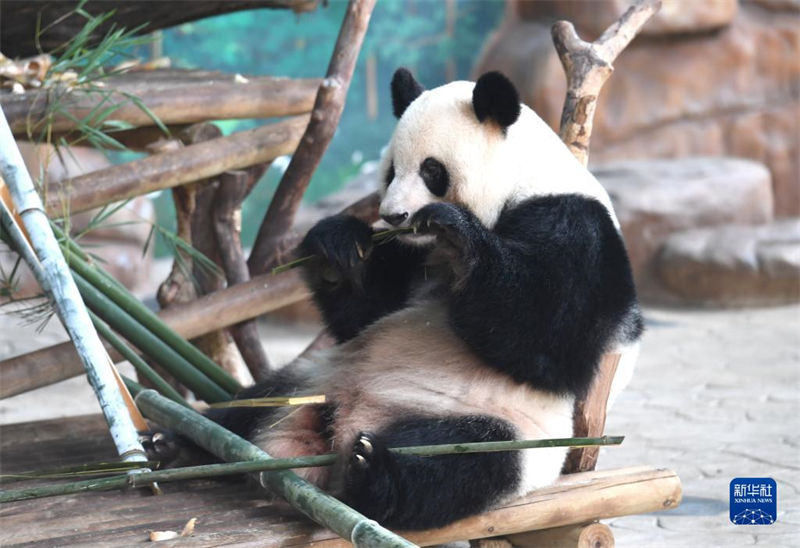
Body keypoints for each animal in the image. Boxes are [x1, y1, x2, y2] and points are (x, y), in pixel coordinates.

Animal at [200, 68, 644, 532]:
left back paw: (371, 471)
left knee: (453, 463)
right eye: (391, 171)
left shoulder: (574, 223)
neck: (523, 180)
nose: (394, 216)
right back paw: (186, 442)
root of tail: (338, 428)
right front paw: (336, 248)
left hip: (514, 432)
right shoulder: (412, 258)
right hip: (311, 380)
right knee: (244, 407)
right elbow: (364, 313)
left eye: (432, 170)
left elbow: (550, 342)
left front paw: (460, 237)